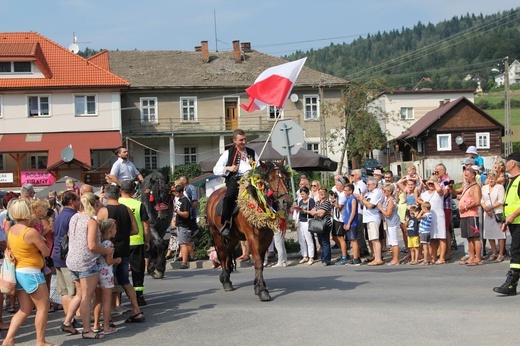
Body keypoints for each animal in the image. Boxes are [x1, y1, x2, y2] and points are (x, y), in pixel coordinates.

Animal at [206, 162, 292, 300]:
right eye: (271, 179)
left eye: (284, 178)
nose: (286, 201)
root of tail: (213, 196)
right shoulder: (252, 237)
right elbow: (257, 261)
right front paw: (262, 290)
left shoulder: (266, 238)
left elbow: (260, 261)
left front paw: (258, 286)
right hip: (217, 233)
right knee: (222, 254)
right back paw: (226, 281)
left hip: (234, 237)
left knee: (227, 251)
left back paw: (226, 276)